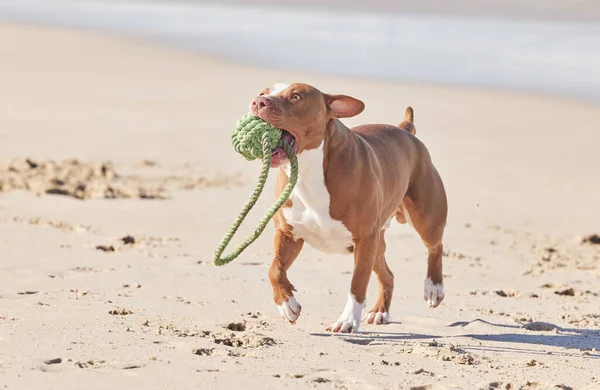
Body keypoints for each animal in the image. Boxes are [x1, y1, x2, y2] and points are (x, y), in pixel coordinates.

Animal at [246, 82, 448, 332]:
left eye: (296, 96)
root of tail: (405, 130)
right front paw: (286, 304)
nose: (258, 102)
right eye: (263, 93)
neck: (308, 171)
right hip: (377, 244)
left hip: (425, 218)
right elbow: (274, 269)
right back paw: (380, 311)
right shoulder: (288, 234)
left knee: (435, 246)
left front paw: (348, 320)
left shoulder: (364, 240)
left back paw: (434, 288)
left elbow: (357, 283)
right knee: (388, 275)